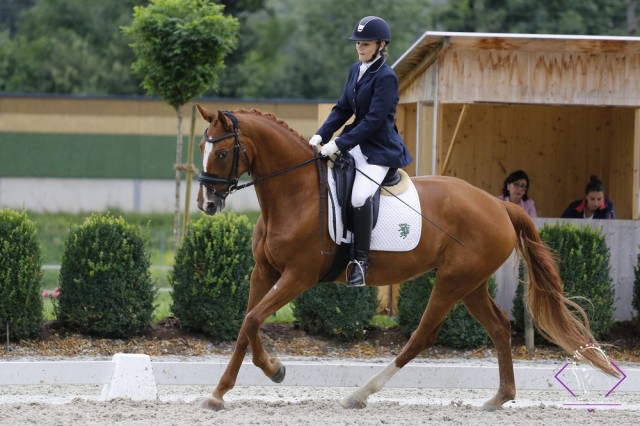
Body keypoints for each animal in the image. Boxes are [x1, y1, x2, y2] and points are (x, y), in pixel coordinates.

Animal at [194, 105, 616, 412]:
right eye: (203, 148)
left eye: (223, 152)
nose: (207, 204)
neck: (294, 193)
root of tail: (498, 204)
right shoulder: (264, 271)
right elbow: (247, 324)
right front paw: (231, 387)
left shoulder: (299, 275)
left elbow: (252, 319)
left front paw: (263, 374)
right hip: (471, 283)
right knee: (498, 326)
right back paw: (499, 398)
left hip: (452, 281)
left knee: (422, 335)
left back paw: (360, 394)